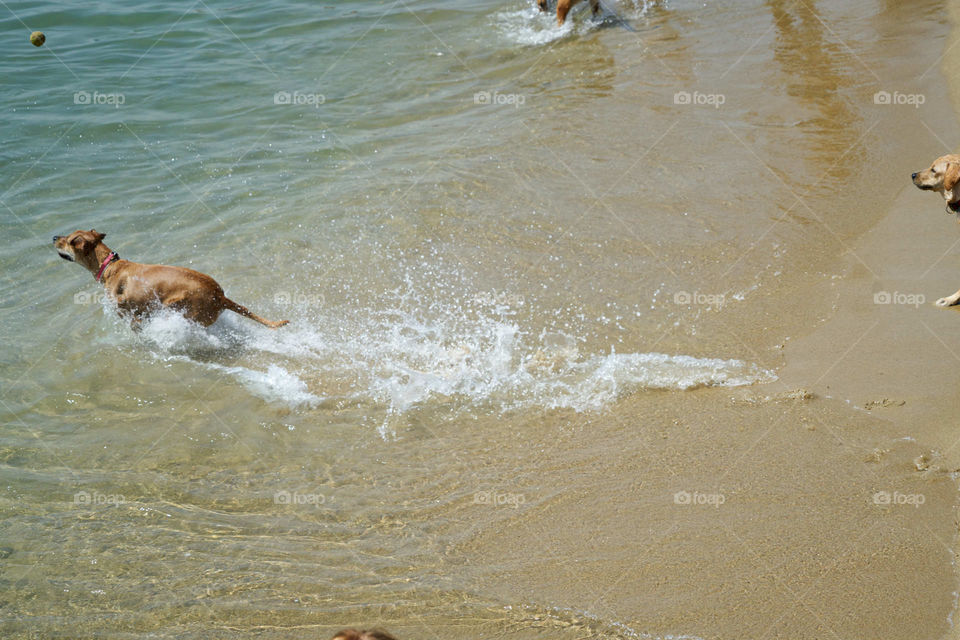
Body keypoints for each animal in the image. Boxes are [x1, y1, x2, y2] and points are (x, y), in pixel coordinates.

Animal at [53, 231, 288, 330]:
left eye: (68, 240)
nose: (54, 237)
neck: (109, 265)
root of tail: (221, 296)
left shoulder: (126, 310)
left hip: (183, 308)